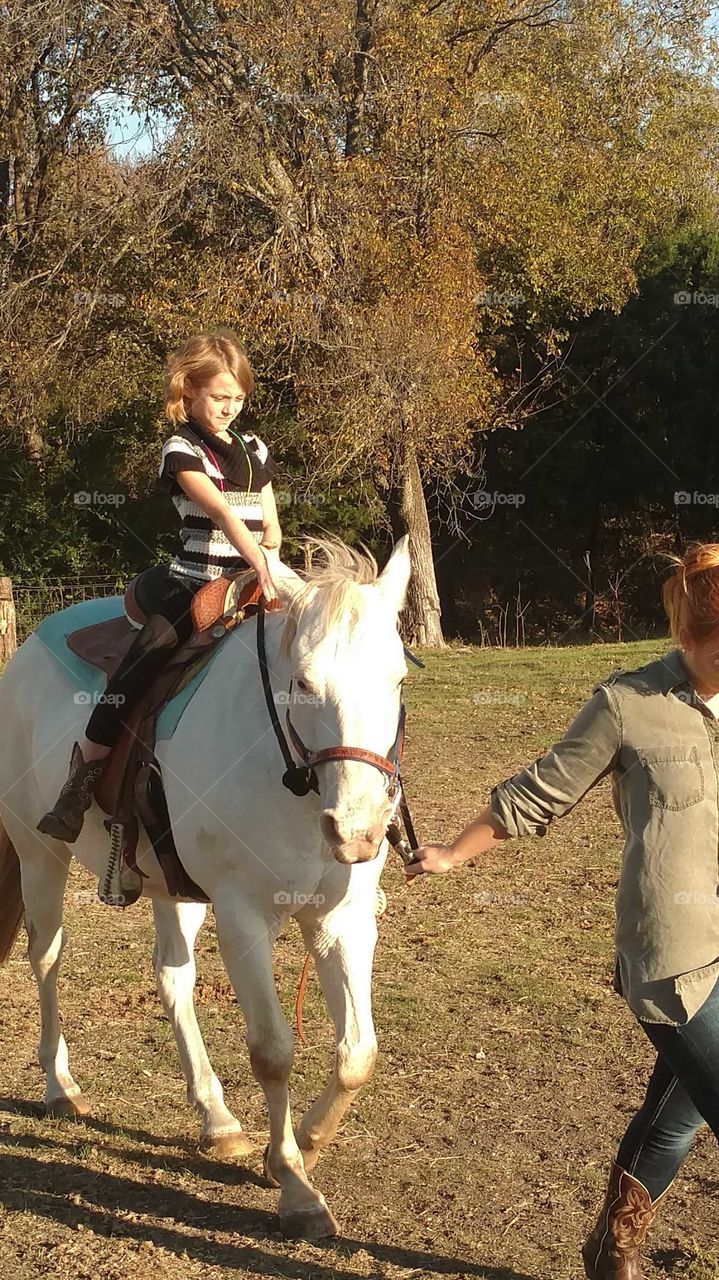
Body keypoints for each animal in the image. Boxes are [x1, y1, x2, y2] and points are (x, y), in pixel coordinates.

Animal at [0, 532, 409, 1239]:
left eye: (397, 679)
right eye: (304, 683)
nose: (357, 829)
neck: (289, 778)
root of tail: (26, 653)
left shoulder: (342, 917)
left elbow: (359, 1052)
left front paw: (308, 1141)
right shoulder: (243, 916)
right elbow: (272, 1051)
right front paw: (294, 1186)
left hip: (173, 887)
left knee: (172, 979)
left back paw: (216, 1119)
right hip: (38, 854)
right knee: (46, 958)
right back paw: (60, 1086)